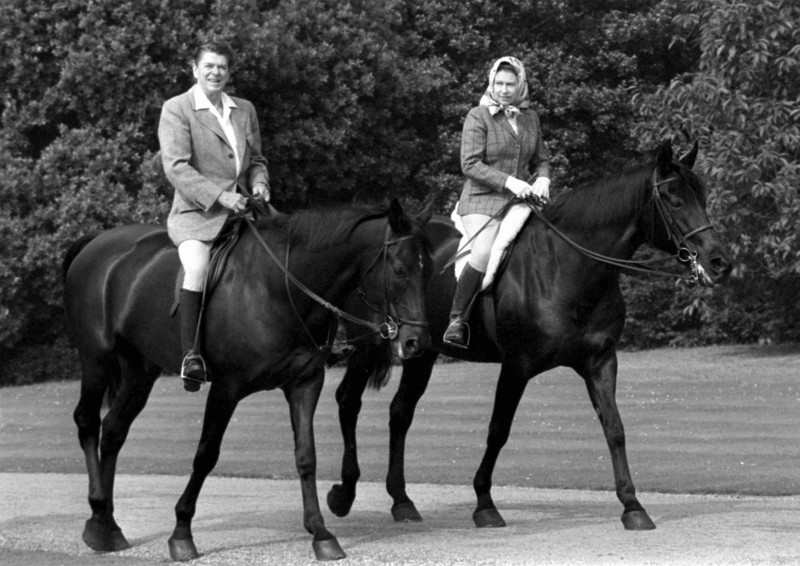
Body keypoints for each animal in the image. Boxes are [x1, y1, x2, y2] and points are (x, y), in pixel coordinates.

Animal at [64, 200, 432, 564]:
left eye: (428, 270)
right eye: (399, 270)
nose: (416, 342)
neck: (279, 287)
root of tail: (98, 241)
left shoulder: (304, 384)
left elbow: (306, 456)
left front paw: (321, 533)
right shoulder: (226, 389)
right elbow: (205, 455)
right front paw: (182, 532)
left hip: (139, 371)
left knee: (114, 430)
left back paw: (105, 524)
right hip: (97, 360)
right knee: (87, 421)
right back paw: (99, 512)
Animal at [324, 143, 732, 532]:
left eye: (702, 197)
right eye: (675, 201)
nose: (719, 262)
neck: (567, 267)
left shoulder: (600, 363)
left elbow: (615, 428)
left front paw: (632, 507)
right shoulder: (516, 367)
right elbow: (498, 431)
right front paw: (485, 505)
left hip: (421, 352)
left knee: (400, 412)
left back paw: (402, 501)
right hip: (371, 344)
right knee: (348, 400)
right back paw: (343, 493)